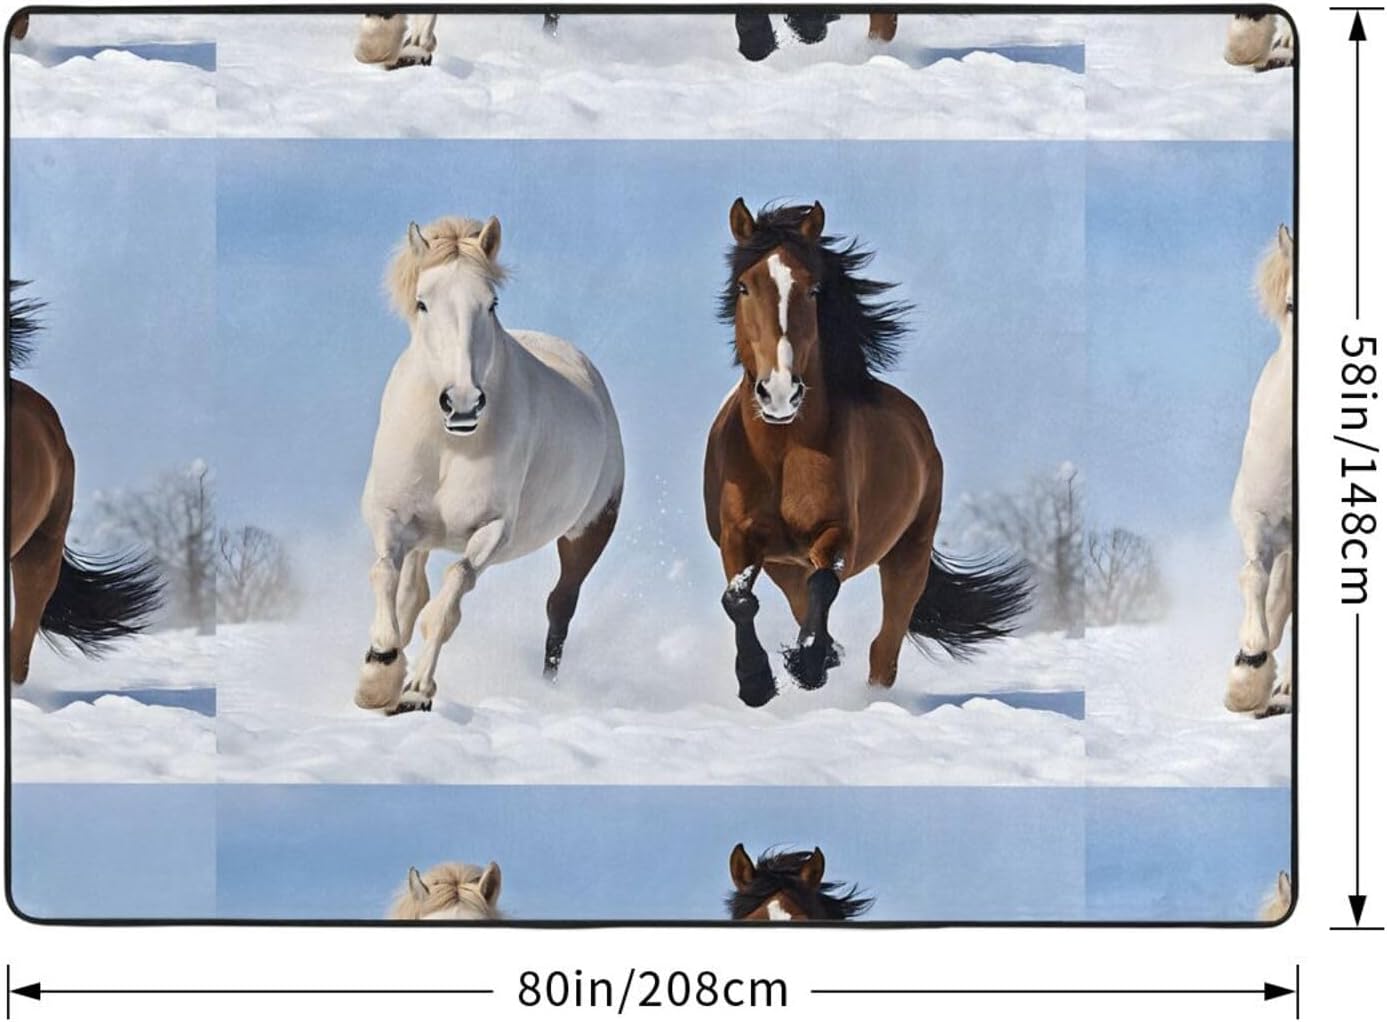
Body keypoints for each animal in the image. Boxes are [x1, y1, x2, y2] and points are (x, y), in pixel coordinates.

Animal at [356, 217, 624, 715]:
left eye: (491, 304)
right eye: (422, 303)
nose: (462, 402)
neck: (449, 444)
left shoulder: (493, 530)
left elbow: (450, 597)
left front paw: (415, 690)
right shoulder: (390, 516)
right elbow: (386, 575)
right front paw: (379, 673)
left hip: (588, 532)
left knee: (561, 604)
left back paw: (548, 688)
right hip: (424, 533)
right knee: (411, 592)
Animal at [703, 200, 1031, 707]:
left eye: (812, 288)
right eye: (743, 287)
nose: (779, 393)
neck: (781, 452)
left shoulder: (840, 532)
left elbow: (825, 583)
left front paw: (809, 665)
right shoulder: (739, 538)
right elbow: (738, 599)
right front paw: (756, 682)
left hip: (908, 556)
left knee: (884, 646)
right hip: (784, 565)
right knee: (805, 606)